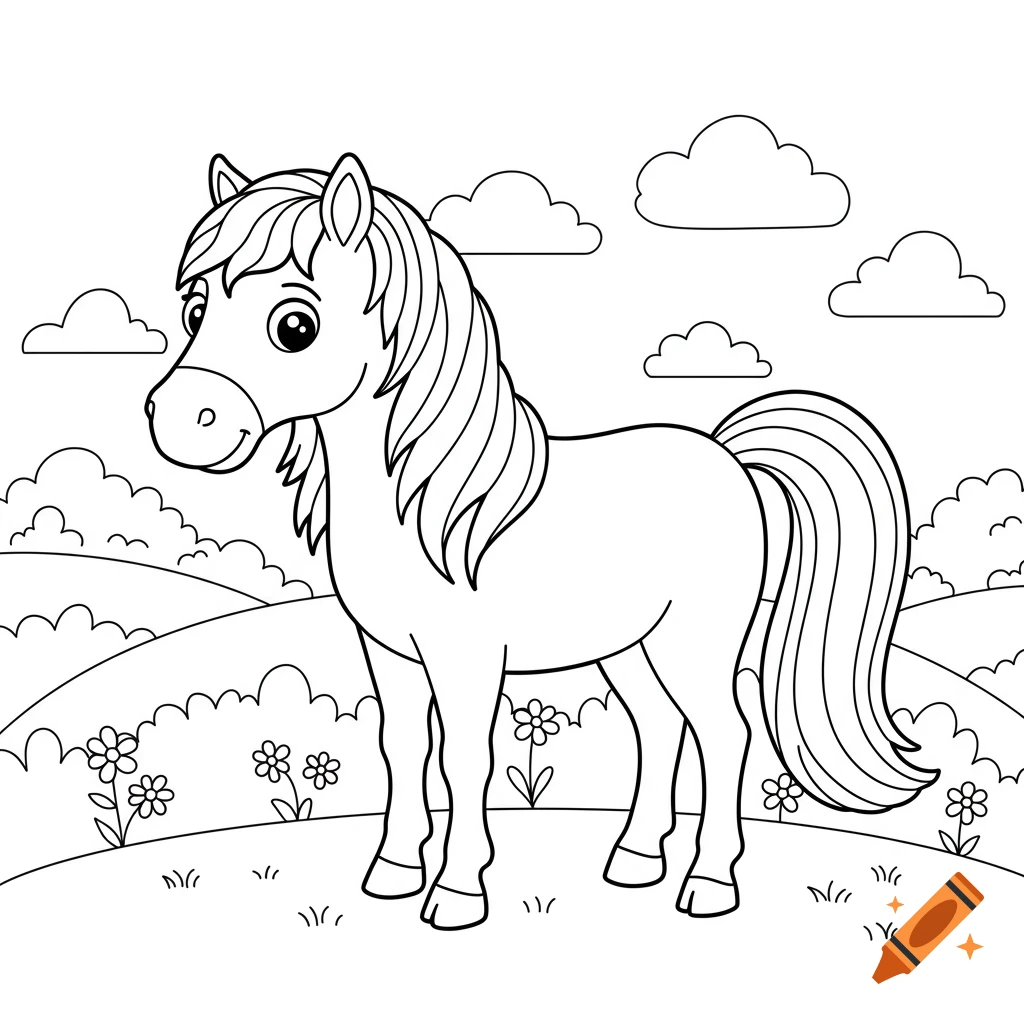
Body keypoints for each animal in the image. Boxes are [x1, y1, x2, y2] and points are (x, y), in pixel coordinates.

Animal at [146, 151, 935, 930]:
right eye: (195, 310)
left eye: (296, 326)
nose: (181, 422)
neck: (423, 504)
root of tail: (731, 459)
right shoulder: (389, 652)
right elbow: (402, 747)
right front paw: (394, 872)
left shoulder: (465, 658)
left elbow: (465, 759)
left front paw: (457, 892)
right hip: (631, 647)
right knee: (659, 727)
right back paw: (634, 861)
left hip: (693, 645)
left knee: (724, 734)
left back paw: (708, 884)